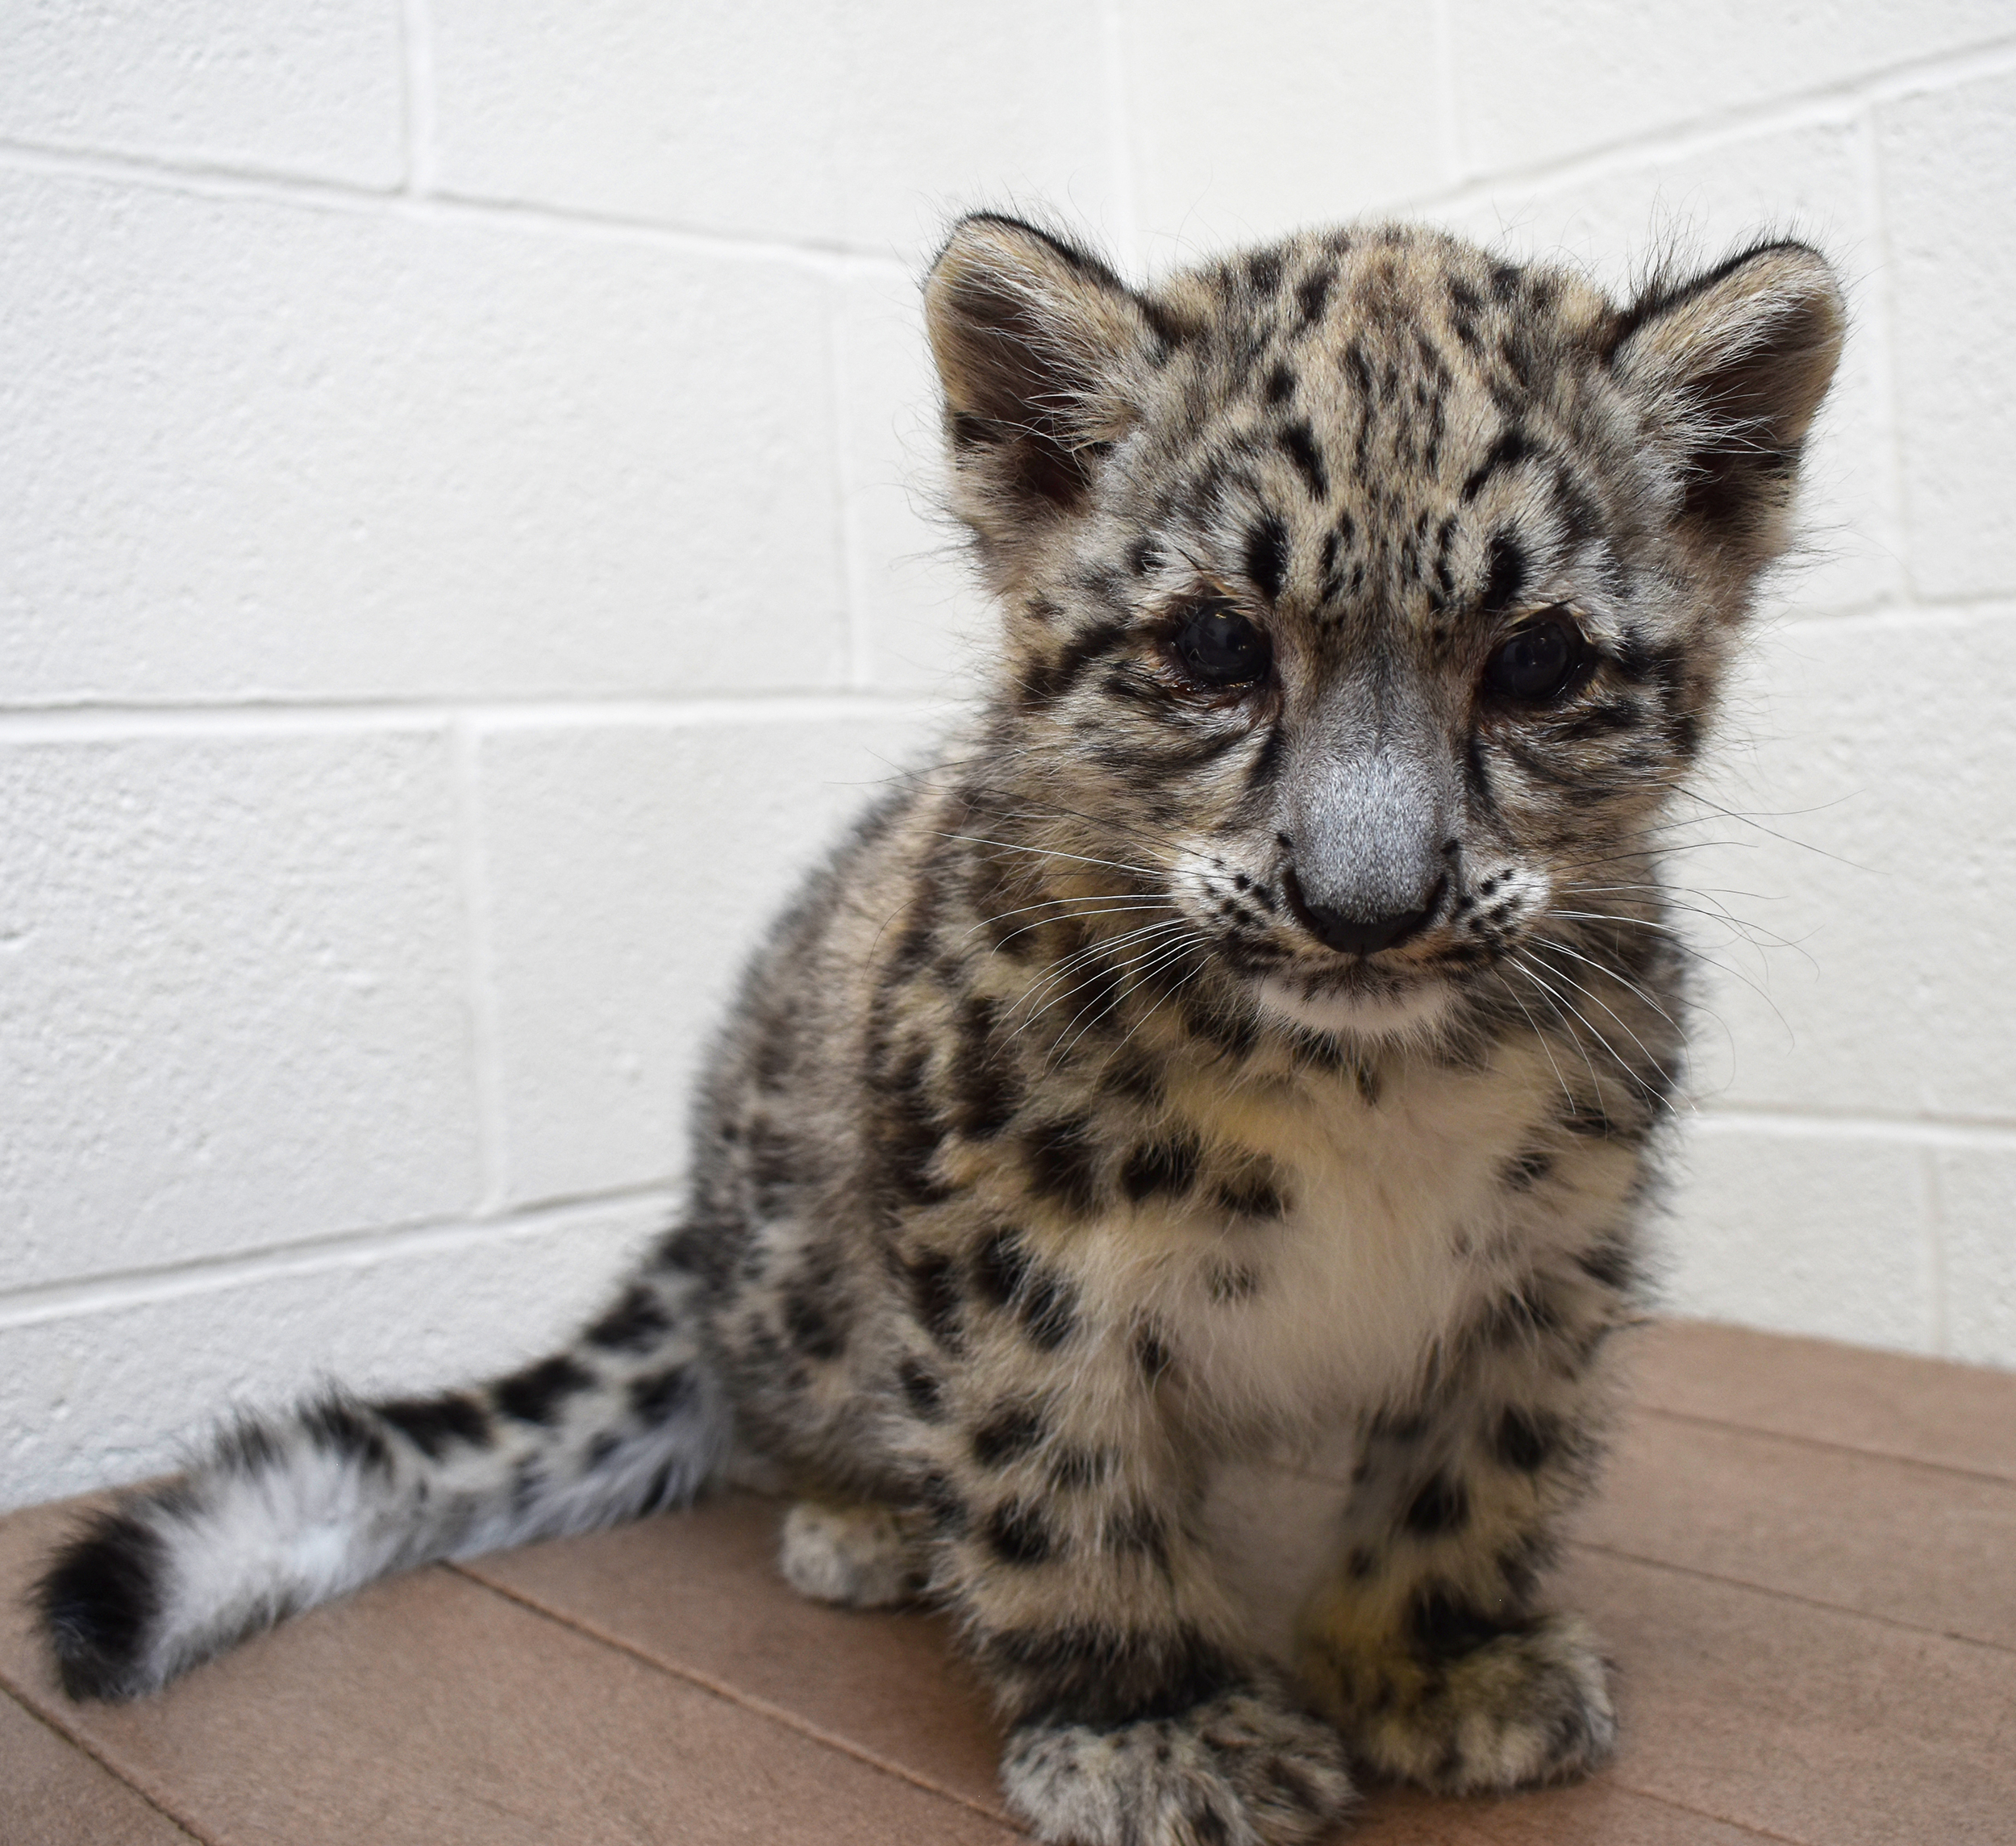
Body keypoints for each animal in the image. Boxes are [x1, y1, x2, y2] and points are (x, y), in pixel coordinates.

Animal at [36, 211, 1843, 1846]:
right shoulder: (1019, 1253)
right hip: (799, 1264)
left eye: (1536, 659)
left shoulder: (1544, 1260)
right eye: (1212, 641)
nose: (1363, 903)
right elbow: (1062, 1493)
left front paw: (1446, 1668)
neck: (1363, 1090)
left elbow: (1474, 1471)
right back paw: (864, 1523)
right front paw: (1152, 1728)